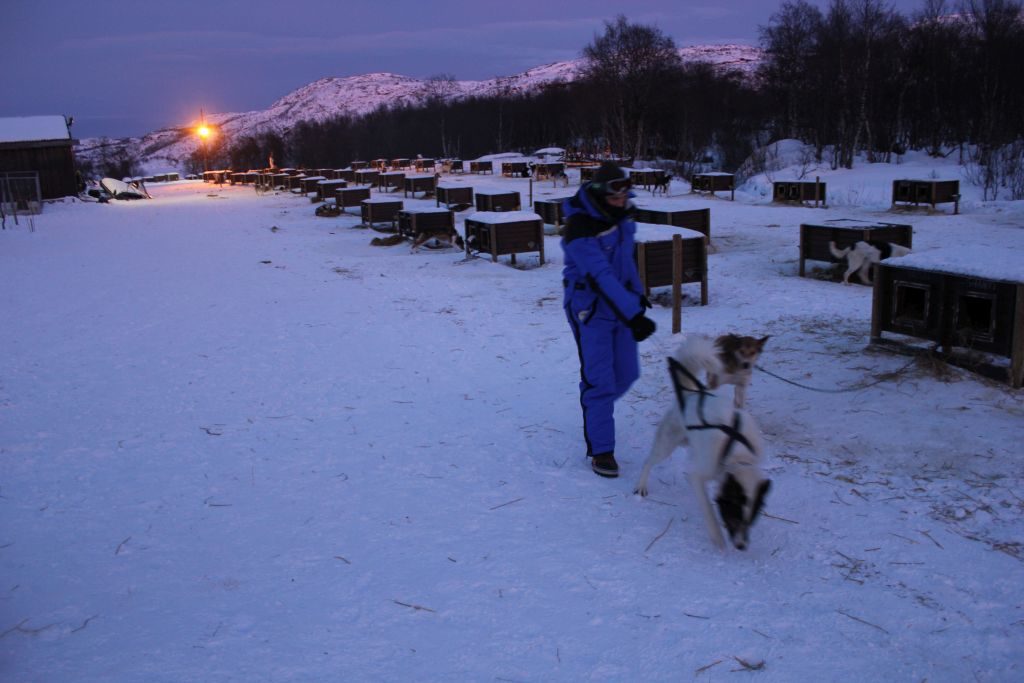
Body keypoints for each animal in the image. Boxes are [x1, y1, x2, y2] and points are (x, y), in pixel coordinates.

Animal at [630, 333, 770, 552]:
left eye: (751, 519)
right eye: (734, 514)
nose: (741, 546)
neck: (735, 448)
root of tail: (691, 393)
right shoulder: (699, 475)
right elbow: (708, 511)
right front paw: (717, 537)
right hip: (667, 444)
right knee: (649, 461)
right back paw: (641, 485)